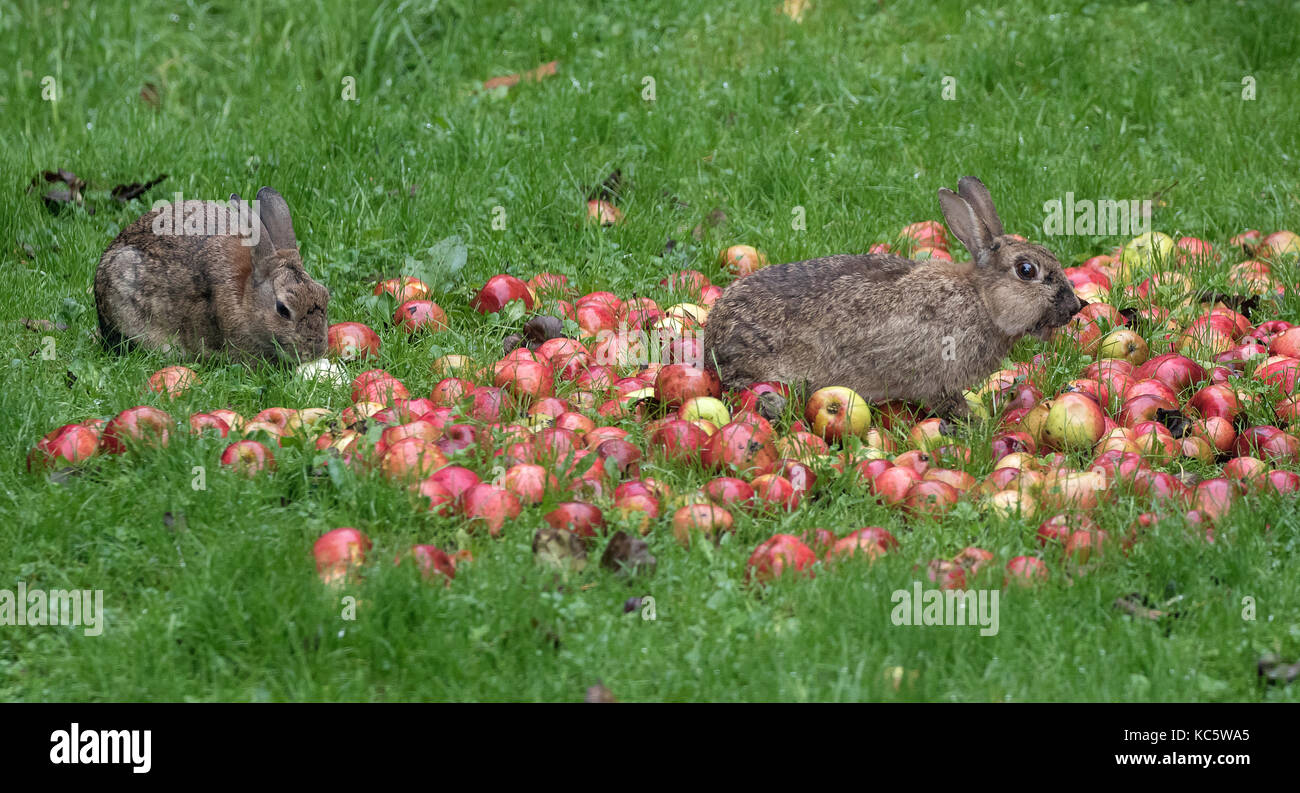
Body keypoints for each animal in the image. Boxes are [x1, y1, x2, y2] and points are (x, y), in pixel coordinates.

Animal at [702, 176, 1082, 418]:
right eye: (1026, 270)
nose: (1075, 306)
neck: (983, 300)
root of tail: (712, 341)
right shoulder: (938, 376)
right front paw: (971, 422)